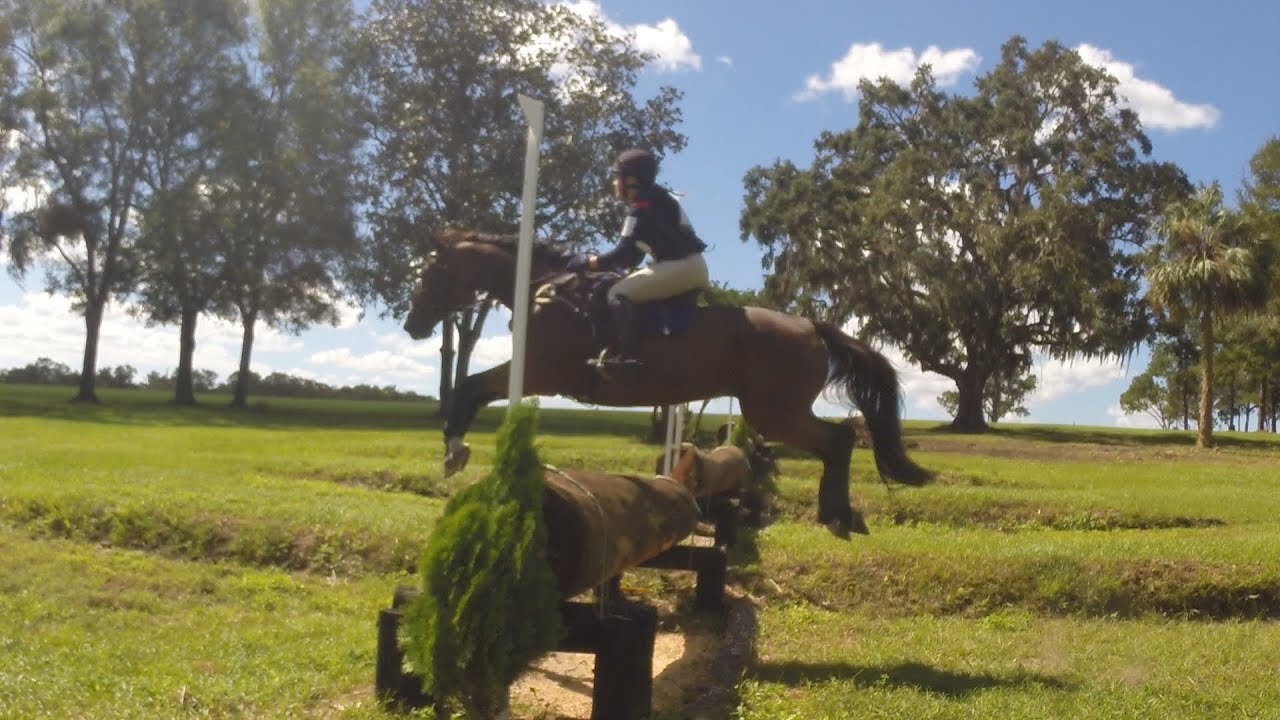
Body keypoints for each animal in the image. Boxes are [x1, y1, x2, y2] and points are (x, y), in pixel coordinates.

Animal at [403, 229, 932, 537]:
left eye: (432, 271)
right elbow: (471, 388)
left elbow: (470, 386)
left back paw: (837, 514)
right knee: (837, 440)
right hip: (774, 410)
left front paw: (455, 450)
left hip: (774, 411)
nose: (412, 325)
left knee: (838, 439)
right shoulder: (535, 372)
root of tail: (810, 326)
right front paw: (454, 449)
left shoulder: (540, 371)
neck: (546, 290)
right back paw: (835, 512)